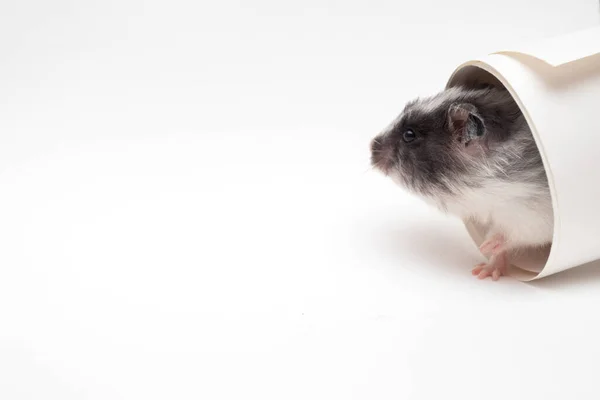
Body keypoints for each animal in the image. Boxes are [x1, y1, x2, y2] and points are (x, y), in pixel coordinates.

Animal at [370, 86, 552, 282]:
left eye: (409, 135)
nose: (371, 148)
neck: (487, 185)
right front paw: (483, 271)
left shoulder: (531, 215)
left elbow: (508, 236)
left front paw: (485, 247)